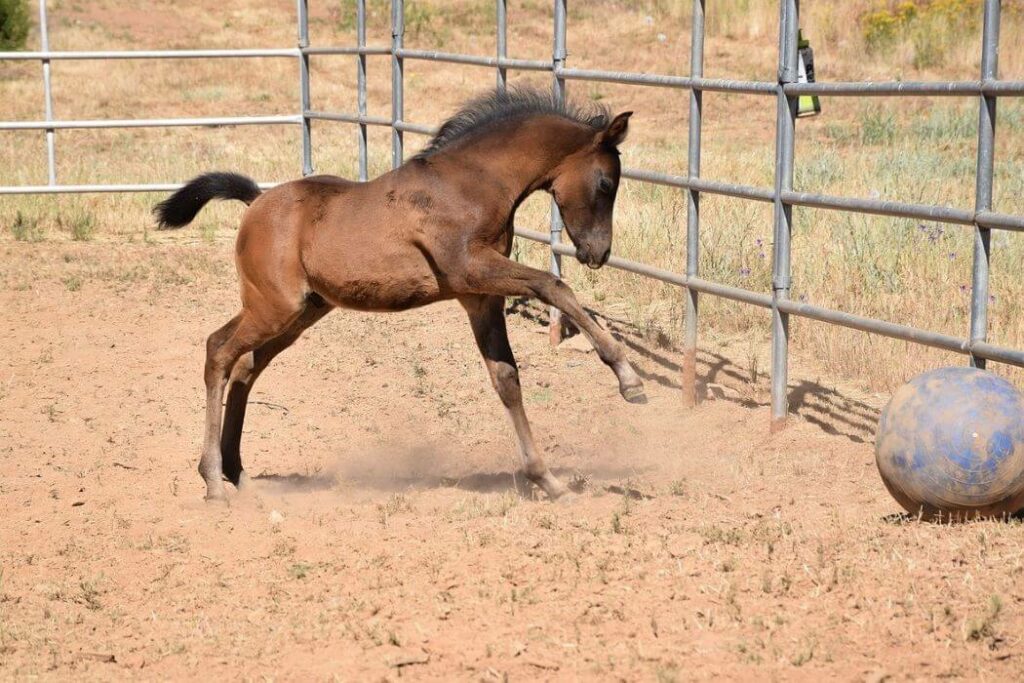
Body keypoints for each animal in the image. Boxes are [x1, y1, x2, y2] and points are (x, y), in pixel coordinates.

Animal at [155, 88, 643, 501]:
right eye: (606, 184)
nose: (598, 253)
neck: (469, 184)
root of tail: (256, 201)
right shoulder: (472, 269)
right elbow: (552, 284)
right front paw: (629, 379)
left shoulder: (479, 297)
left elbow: (506, 378)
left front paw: (548, 480)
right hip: (273, 307)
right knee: (219, 351)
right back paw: (213, 481)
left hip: (300, 313)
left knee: (245, 368)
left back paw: (237, 473)